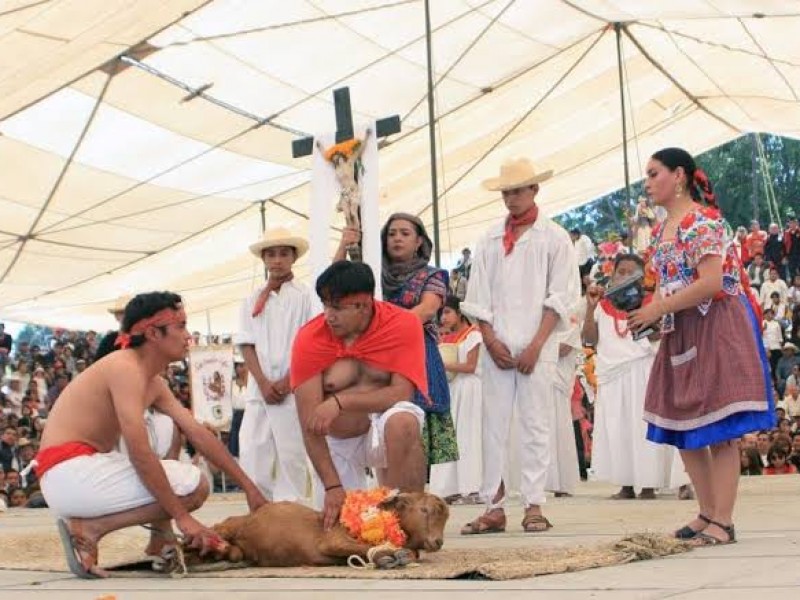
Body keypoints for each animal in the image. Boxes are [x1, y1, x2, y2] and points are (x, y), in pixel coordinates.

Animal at [185, 490, 454, 568]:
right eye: (425, 510)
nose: (438, 542)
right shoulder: (334, 540)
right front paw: (390, 554)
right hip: (228, 526)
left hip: (239, 547)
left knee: (232, 552)